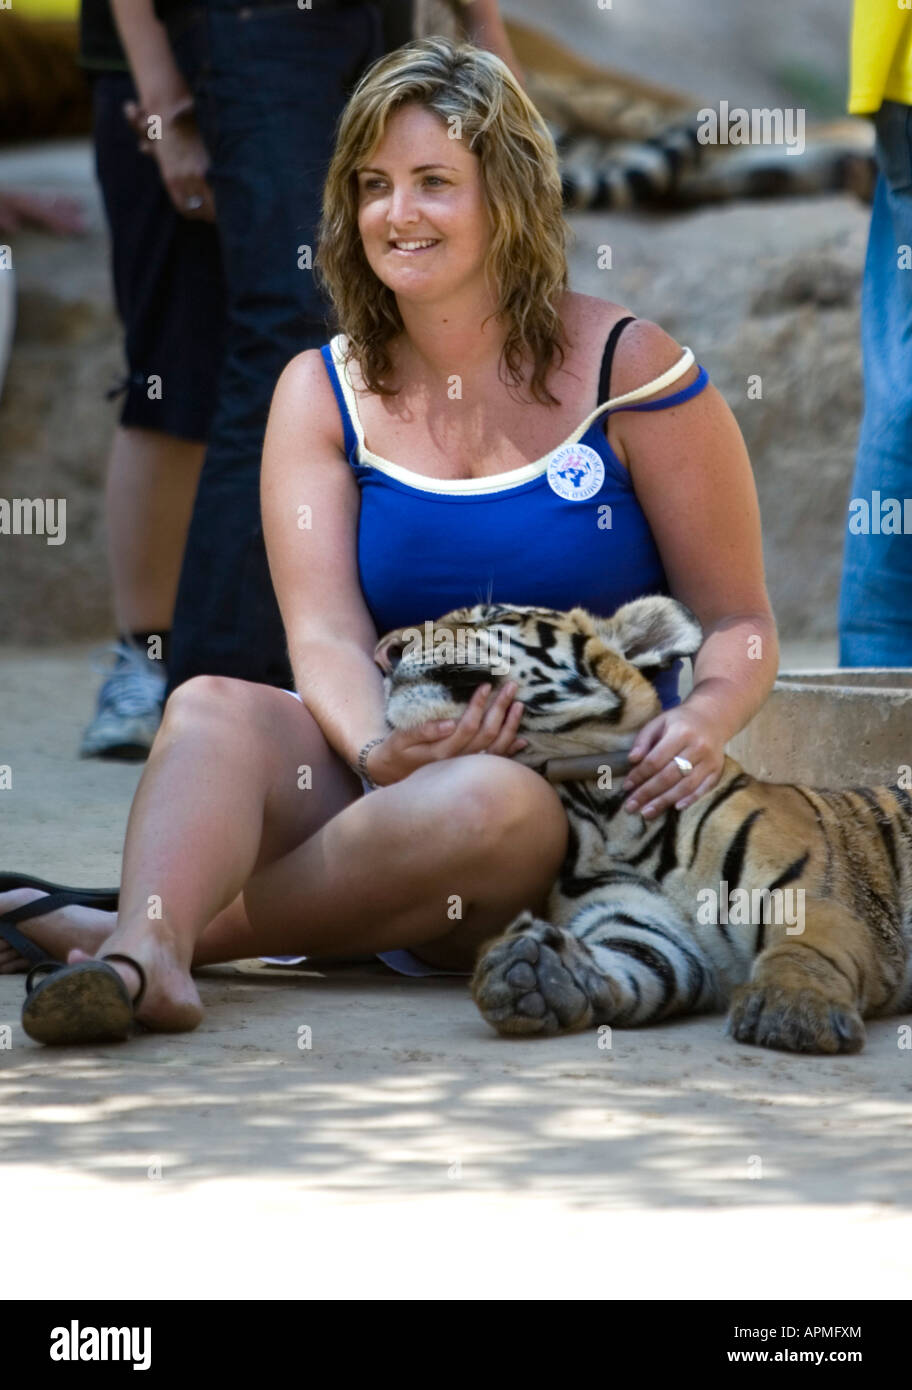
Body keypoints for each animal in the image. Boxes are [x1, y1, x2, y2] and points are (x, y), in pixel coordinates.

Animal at [378, 597, 912, 1055]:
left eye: (495, 616)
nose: (385, 651)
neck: (599, 805)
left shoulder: (814, 896)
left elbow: (805, 951)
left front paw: (790, 1011)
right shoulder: (646, 923)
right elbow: (634, 960)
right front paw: (538, 971)